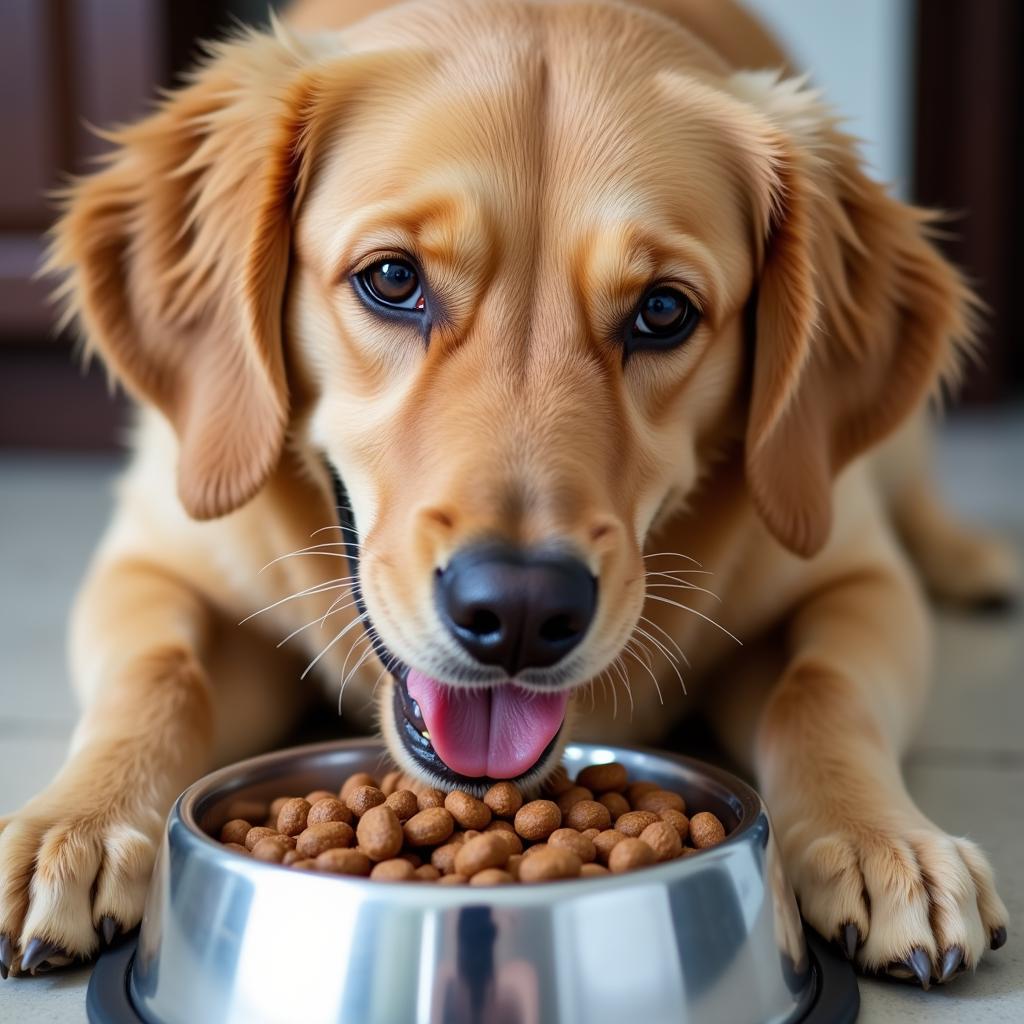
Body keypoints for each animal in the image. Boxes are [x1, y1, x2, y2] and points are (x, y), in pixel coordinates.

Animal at [0, 0, 1015, 983]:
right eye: (392, 278)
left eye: (664, 310)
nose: (521, 613)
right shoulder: (156, 555)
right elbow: (157, 677)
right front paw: (71, 826)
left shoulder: (854, 575)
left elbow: (821, 690)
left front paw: (889, 844)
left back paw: (975, 560)